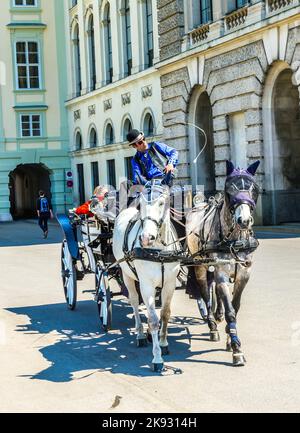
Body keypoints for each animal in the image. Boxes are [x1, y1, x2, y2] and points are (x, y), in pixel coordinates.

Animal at [111, 181, 179, 370]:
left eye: (162, 203)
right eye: (141, 205)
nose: (146, 237)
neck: (159, 251)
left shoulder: (170, 283)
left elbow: (165, 314)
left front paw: (163, 344)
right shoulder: (146, 285)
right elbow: (154, 320)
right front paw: (157, 358)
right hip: (128, 275)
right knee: (134, 301)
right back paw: (141, 334)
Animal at [185, 159, 260, 364]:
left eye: (254, 188)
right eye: (229, 189)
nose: (244, 220)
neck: (234, 238)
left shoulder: (244, 273)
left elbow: (234, 305)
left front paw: (230, 337)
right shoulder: (222, 271)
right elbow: (229, 309)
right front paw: (236, 348)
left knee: (215, 291)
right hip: (200, 266)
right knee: (205, 293)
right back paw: (212, 324)